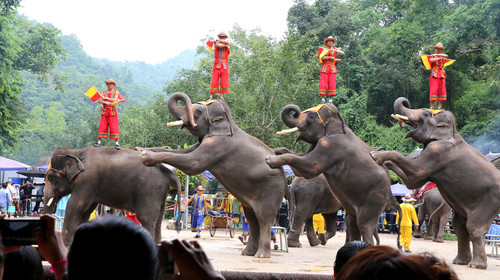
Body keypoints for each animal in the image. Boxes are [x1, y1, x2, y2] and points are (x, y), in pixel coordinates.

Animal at [43, 145, 180, 246]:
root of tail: (170, 173)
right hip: (160, 196)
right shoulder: (92, 187)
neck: (77, 152)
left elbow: (75, 205)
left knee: (146, 220)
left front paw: (66, 245)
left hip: (149, 193)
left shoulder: (86, 182)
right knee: (158, 223)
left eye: (50, 178)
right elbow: (87, 211)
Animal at [140, 92, 286, 258]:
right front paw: (140, 149)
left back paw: (261, 255)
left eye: (198, 111)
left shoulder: (218, 144)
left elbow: (193, 163)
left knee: (264, 218)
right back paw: (247, 253)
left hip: (272, 189)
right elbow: (183, 152)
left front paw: (145, 156)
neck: (228, 122)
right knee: (252, 218)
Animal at [266, 103, 402, 247]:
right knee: (352, 221)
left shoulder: (330, 145)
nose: (295, 111)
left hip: (374, 198)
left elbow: (310, 166)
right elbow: (297, 158)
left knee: (363, 224)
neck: (340, 123)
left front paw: (269, 159)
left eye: (311, 116)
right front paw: (272, 152)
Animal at [370, 97, 500, 270]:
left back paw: (475, 266)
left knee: (474, 228)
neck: (452, 132)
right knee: (460, 227)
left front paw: (375, 155)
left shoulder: (437, 151)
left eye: (425, 114)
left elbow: (415, 172)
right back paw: (460, 262)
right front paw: (382, 162)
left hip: (489, 204)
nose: (406, 101)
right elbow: (412, 181)